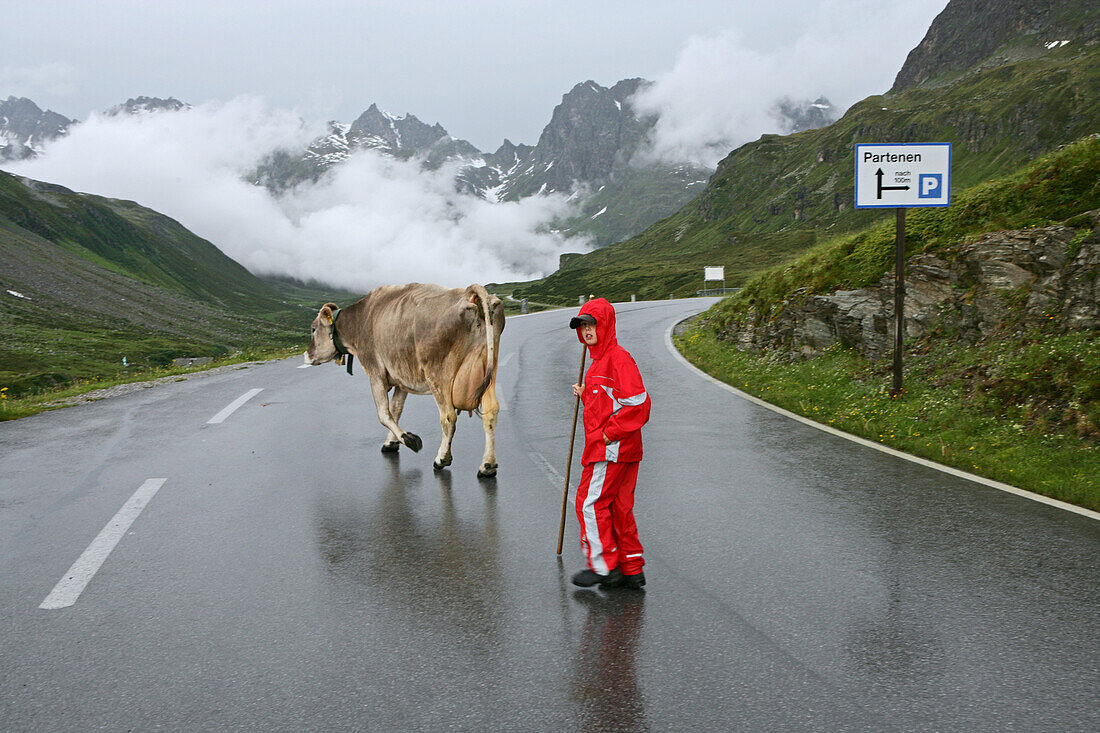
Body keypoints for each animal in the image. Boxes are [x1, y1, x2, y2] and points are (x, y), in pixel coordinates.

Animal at [305, 281, 503, 477]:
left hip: (438, 374)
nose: (307, 355)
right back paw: (487, 465)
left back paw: (441, 459)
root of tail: (468, 292)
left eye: (313, 329)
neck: (361, 319)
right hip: (488, 369)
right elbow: (396, 409)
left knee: (448, 417)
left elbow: (383, 413)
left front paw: (409, 439)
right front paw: (391, 442)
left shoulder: (375, 372)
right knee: (490, 412)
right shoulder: (402, 379)